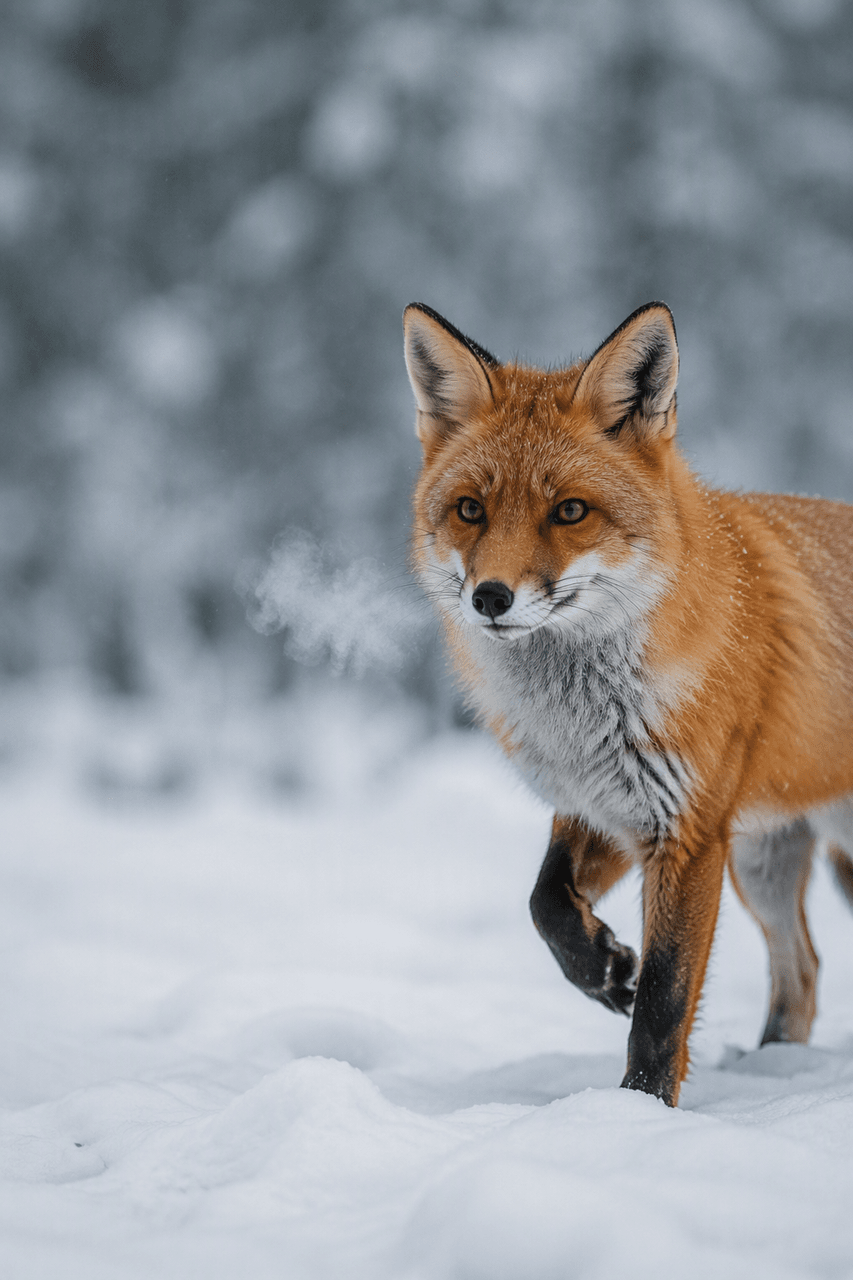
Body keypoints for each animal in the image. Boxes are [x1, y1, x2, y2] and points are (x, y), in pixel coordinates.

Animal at [402, 299, 853, 1106]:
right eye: (470, 509)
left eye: (569, 511)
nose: (490, 598)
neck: (582, 716)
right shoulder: (606, 806)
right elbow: (544, 903)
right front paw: (607, 971)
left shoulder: (689, 831)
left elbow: (666, 1003)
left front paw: (639, 1112)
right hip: (764, 865)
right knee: (801, 972)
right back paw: (774, 1066)